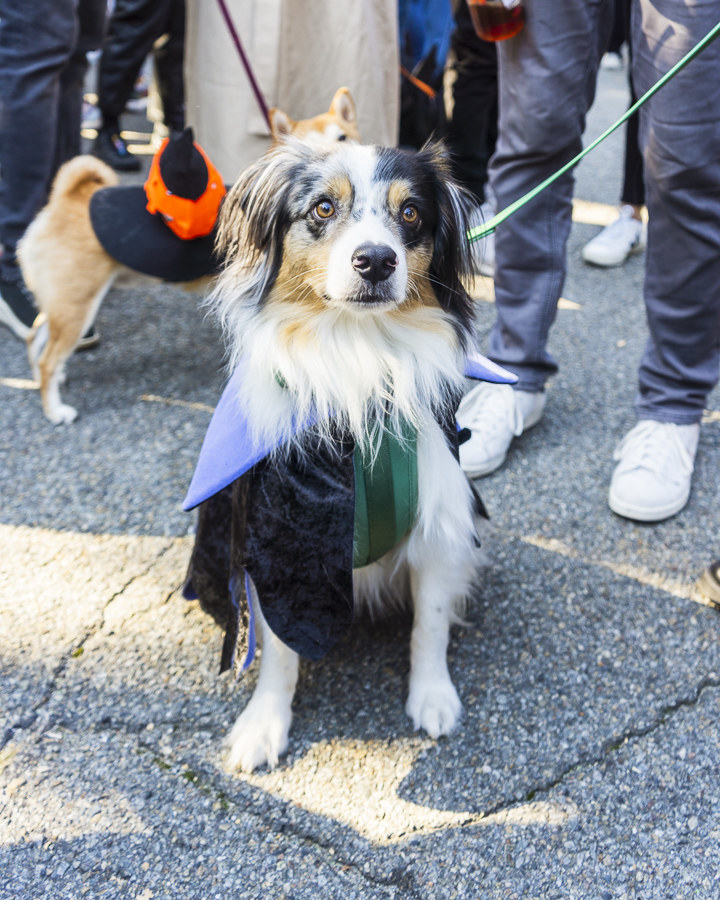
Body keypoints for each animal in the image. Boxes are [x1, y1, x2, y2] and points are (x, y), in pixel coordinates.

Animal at [18, 88, 360, 426]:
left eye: (343, 138)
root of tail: (66, 198)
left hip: (65, 304)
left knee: (36, 338)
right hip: (77, 305)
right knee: (48, 357)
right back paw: (55, 410)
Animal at [180, 135, 516, 772]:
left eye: (410, 213)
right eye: (322, 209)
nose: (376, 261)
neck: (361, 355)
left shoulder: (441, 519)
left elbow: (430, 624)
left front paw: (433, 698)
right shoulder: (278, 543)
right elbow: (280, 649)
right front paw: (264, 725)